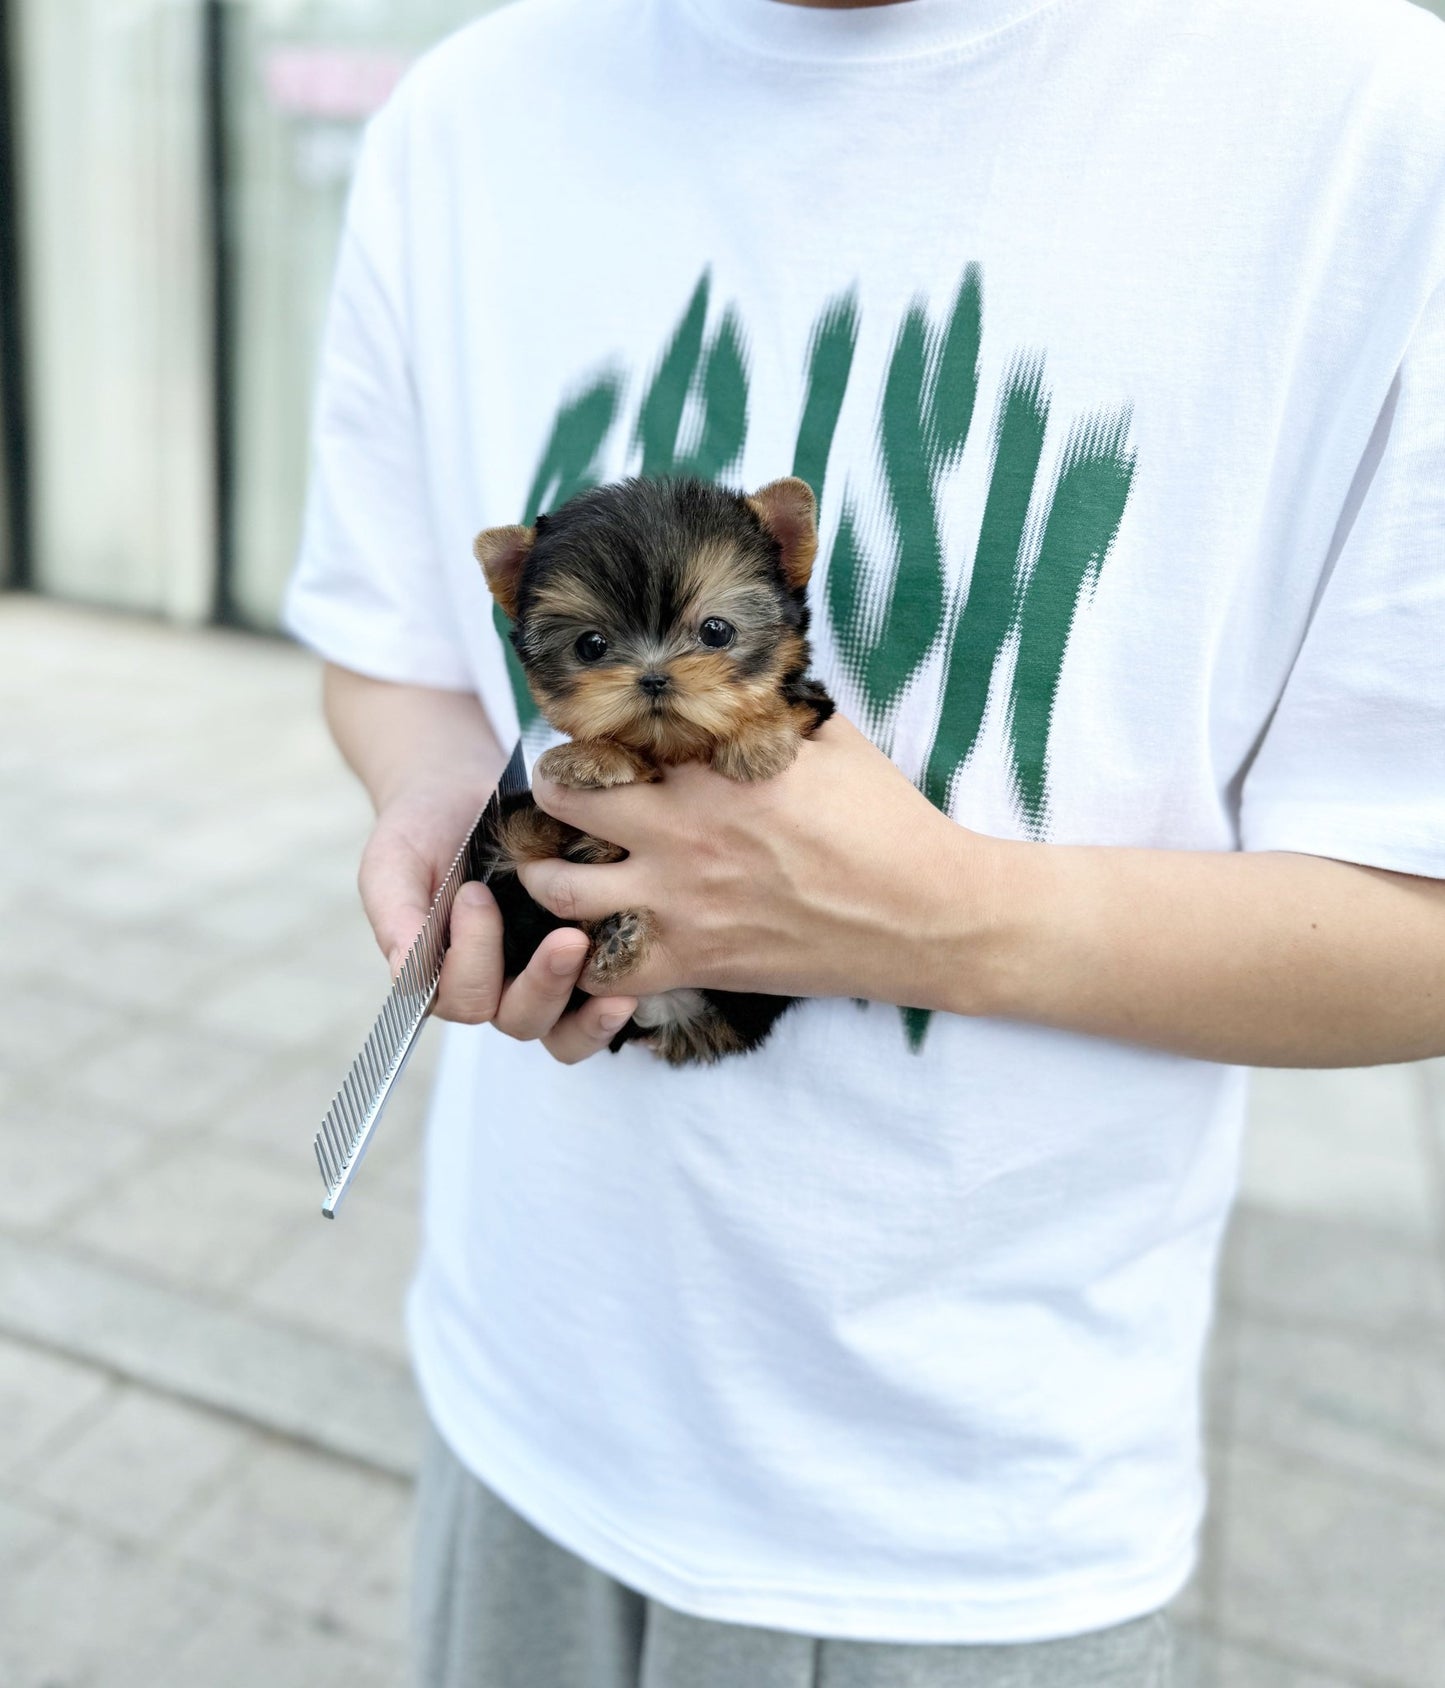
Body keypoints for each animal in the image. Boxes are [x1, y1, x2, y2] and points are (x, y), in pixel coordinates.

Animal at [472, 469, 833, 1060]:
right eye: (591, 645)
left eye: (716, 631)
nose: (655, 677)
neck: (673, 749)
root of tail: (667, 1007)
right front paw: (594, 756)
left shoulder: (815, 705)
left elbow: (796, 705)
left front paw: (759, 739)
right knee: (526, 833)